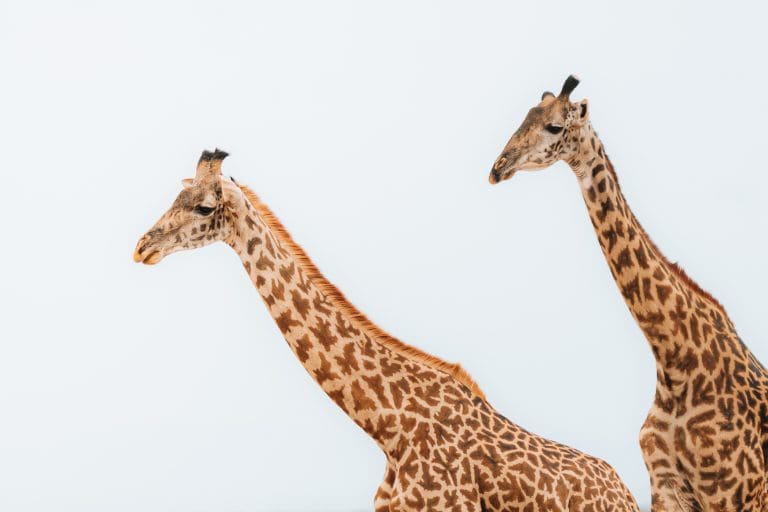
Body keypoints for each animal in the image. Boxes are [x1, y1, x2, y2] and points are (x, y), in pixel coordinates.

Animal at [489, 75, 768, 512]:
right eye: (525, 117)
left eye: (554, 126)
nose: (498, 167)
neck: (675, 358)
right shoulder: (666, 488)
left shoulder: (734, 492)